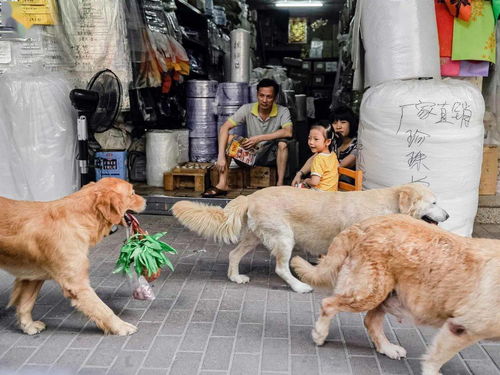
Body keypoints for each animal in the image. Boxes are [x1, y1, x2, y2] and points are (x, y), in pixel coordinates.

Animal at [0, 178, 146, 336]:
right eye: (132, 193)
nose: (146, 201)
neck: (79, 218)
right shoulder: (77, 284)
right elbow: (103, 309)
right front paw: (121, 326)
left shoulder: (32, 277)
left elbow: (26, 304)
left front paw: (28, 326)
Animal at [173, 184, 450, 294]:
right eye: (434, 203)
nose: (448, 214)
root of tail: (251, 196)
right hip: (284, 237)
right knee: (281, 268)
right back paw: (299, 286)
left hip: (255, 237)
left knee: (233, 254)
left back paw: (235, 277)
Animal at [292, 214, 498, 375]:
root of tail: (364, 224)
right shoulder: (463, 327)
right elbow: (436, 359)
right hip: (369, 291)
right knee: (328, 304)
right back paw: (320, 334)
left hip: (386, 293)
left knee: (371, 321)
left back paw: (388, 348)